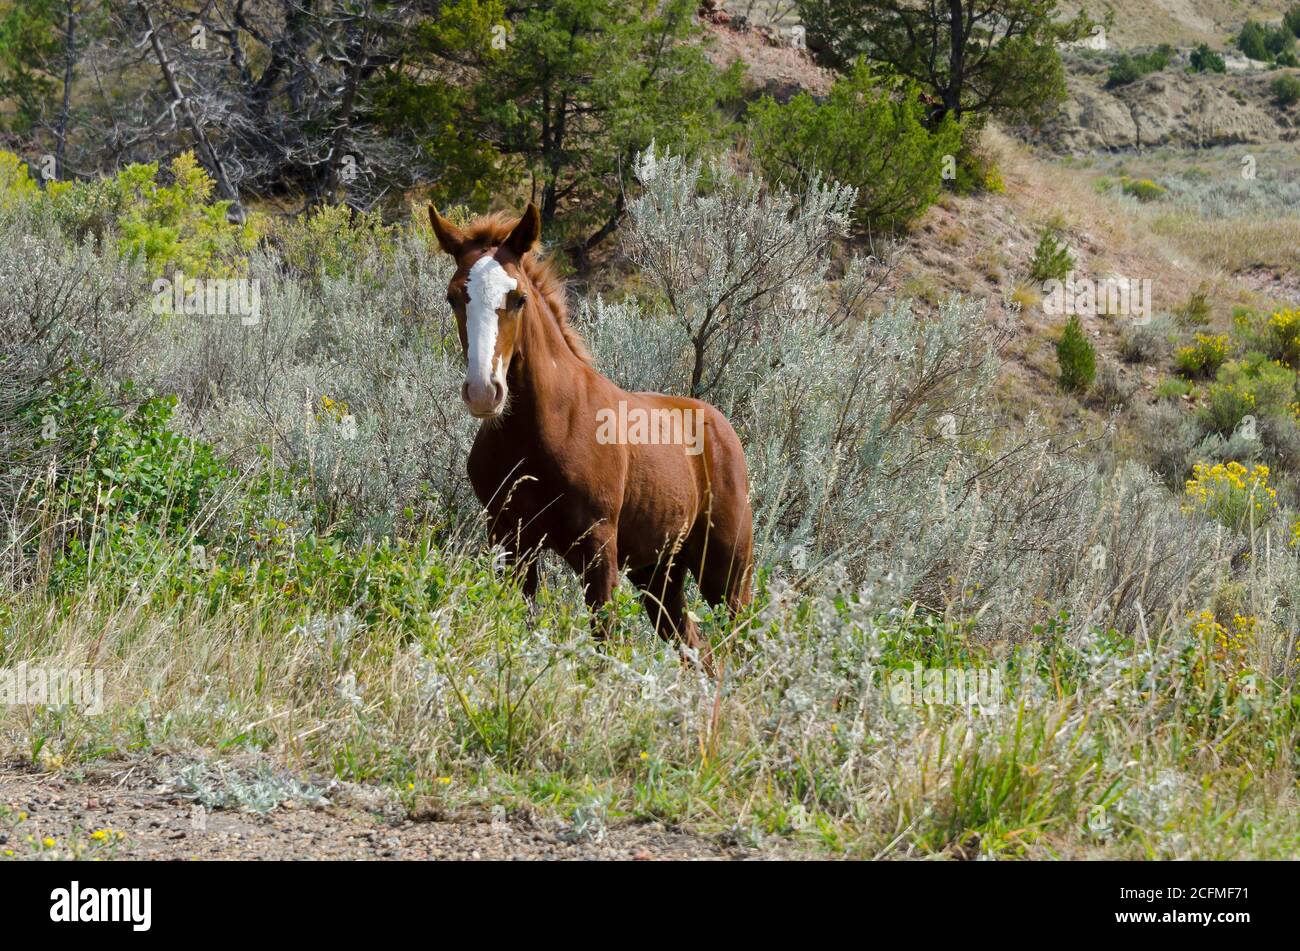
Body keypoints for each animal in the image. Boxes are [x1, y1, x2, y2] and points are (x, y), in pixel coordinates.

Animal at [428, 202, 754, 659]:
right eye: (454, 296)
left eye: (518, 298)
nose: (483, 391)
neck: (539, 431)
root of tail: (723, 430)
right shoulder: (510, 540)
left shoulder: (598, 547)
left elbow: (604, 643)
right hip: (659, 573)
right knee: (696, 648)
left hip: (726, 569)